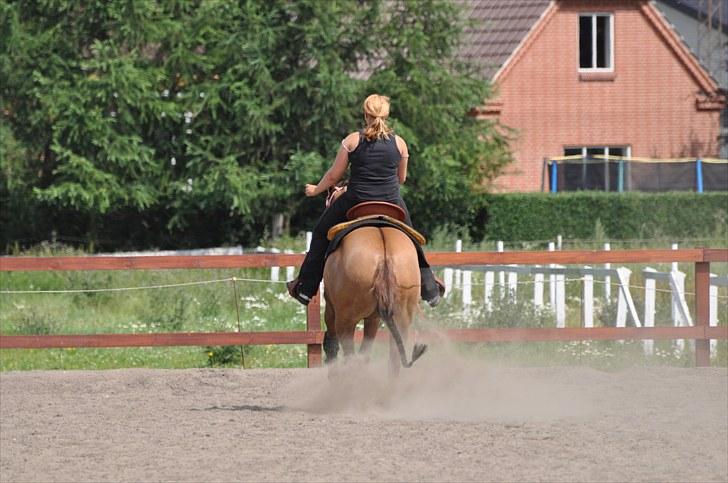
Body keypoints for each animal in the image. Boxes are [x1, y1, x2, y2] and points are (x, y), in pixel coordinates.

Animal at [322, 200, 426, 374]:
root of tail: (384, 257)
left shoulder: (331, 308)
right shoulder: (373, 318)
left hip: (345, 320)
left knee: (350, 357)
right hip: (401, 317)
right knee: (393, 359)